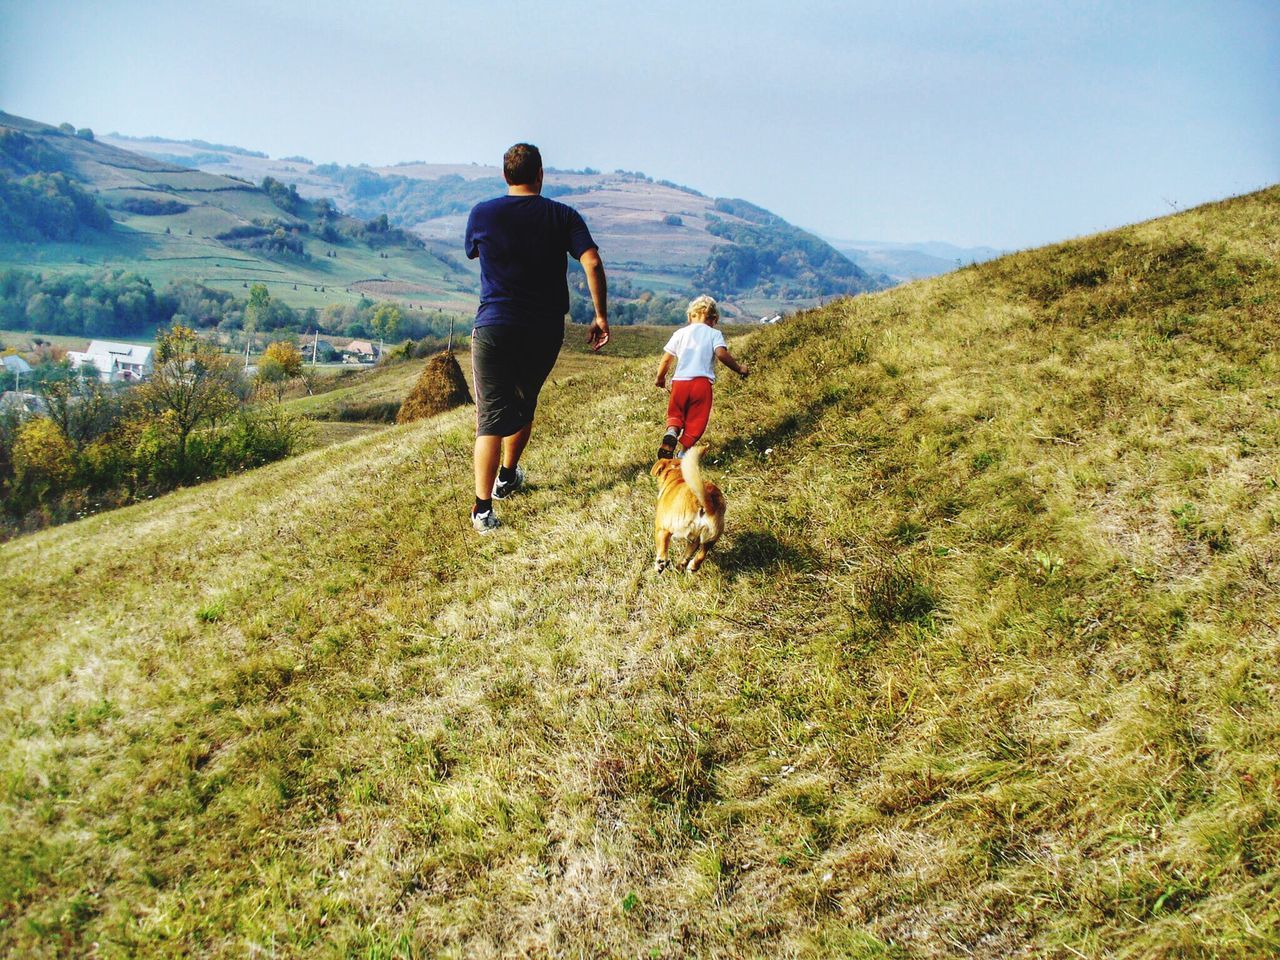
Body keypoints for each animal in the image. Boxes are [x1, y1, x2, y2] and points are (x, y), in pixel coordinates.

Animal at [655, 448, 727, 576]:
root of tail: (706, 502)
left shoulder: (660, 528)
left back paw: (660, 565)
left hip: (667, 527)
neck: (676, 476)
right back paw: (689, 567)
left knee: (663, 550)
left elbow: (661, 546)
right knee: (700, 554)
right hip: (710, 535)